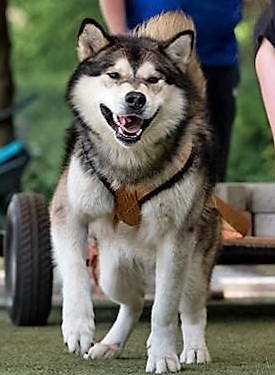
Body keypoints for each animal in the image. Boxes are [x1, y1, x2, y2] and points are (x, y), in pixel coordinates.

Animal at [49, 10, 221, 374]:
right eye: (114, 75)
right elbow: (74, 270)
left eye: (154, 79)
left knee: (191, 307)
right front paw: (78, 327)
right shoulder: (66, 213)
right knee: (134, 301)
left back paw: (194, 348)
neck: (128, 166)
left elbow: (165, 309)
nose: (135, 98)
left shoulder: (176, 241)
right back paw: (109, 344)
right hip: (112, 270)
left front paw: (164, 354)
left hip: (194, 265)